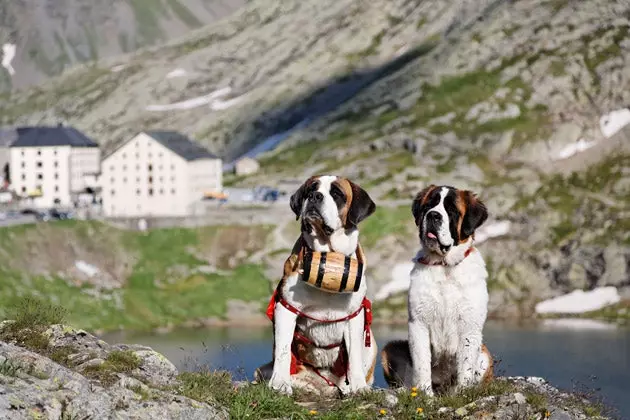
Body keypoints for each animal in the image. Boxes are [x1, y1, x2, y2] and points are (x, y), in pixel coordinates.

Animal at [254, 175, 378, 398]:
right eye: (310, 190)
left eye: (337, 193)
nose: (315, 196)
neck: (328, 254)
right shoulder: (286, 309)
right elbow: (283, 350)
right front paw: (280, 383)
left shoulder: (355, 315)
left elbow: (354, 355)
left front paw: (358, 387)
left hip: (371, 342)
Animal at [382, 185, 496, 396]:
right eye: (429, 205)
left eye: (451, 210)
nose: (433, 215)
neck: (444, 267)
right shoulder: (418, 323)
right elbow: (422, 364)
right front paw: (425, 395)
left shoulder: (469, 326)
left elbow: (465, 365)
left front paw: (462, 394)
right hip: (390, 348)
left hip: (485, 354)